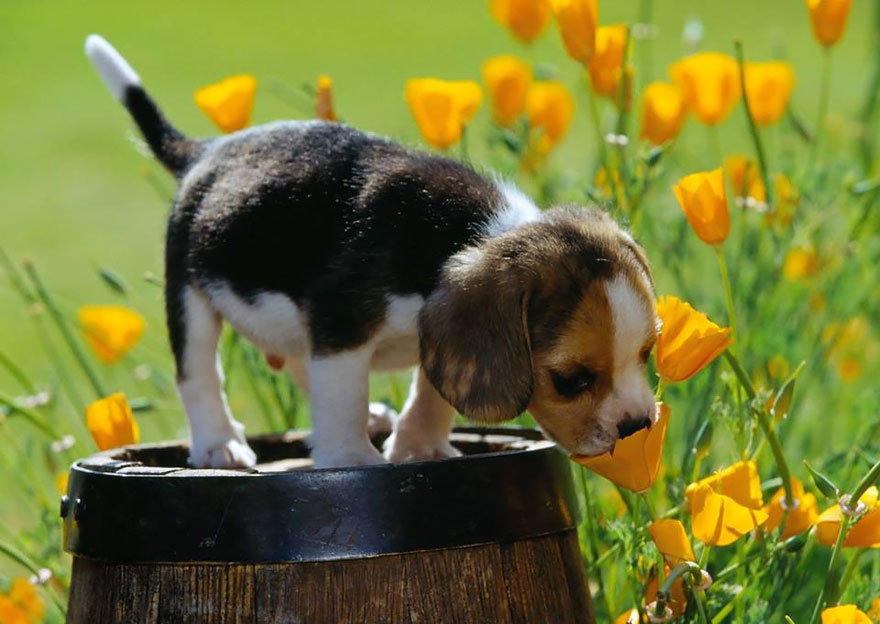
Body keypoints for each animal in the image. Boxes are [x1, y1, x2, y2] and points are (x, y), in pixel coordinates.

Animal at [86, 35, 660, 468]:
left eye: (647, 353)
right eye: (570, 380)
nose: (637, 427)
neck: (472, 233)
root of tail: (206, 152)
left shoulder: (433, 336)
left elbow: (431, 390)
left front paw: (419, 445)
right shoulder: (342, 325)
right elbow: (341, 397)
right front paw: (351, 459)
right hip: (190, 294)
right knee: (199, 373)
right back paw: (219, 445)